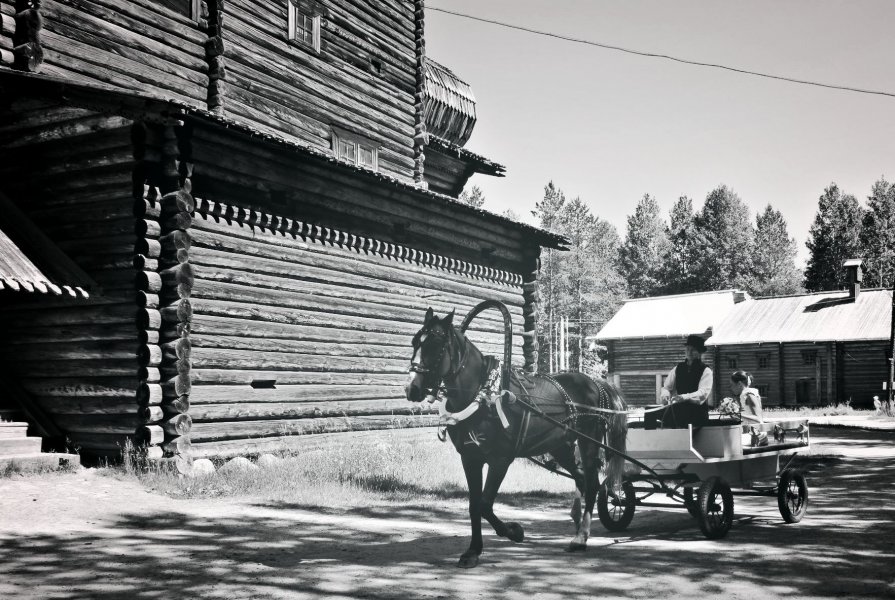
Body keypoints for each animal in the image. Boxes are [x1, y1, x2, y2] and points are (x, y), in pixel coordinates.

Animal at [402, 310, 628, 568]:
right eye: (415, 342)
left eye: (435, 345)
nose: (412, 388)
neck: (483, 394)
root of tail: (595, 383)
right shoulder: (470, 458)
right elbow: (474, 505)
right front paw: (473, 550)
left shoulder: (500, 459)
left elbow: (484, 504)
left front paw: (513, 531)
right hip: (561, 446)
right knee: (581, 478)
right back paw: (579, 526)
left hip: (589, 442)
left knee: (591, 484)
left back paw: (581, 537)